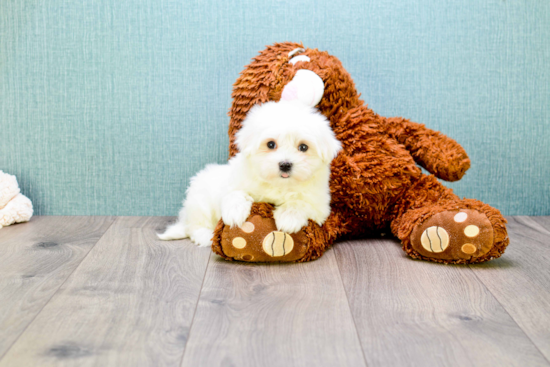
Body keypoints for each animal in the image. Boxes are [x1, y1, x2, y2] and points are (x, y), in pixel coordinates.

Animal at [157, 100, 342, 247]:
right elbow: (234, 194)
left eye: (303, 147)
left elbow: (299, 203)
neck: (279, 185)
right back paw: (206, 236)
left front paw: (289, 218)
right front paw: (235, 213)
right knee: (195, 226)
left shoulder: (320, 205)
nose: (285, 164)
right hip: (199, 201)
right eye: (270, 144)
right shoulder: (234, 182)